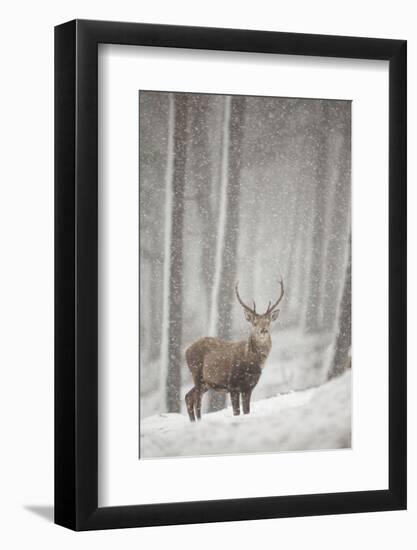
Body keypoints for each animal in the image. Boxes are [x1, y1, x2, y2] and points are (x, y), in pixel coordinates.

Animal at [184, 280, 282, 422]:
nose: (263, 330)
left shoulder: (249, 387)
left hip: (206, 383)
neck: (250, 363)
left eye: (268, 322)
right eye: (254, 323)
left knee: (188, 397)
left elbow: (246, 411)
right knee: (197, 400)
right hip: (196, 372)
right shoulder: (232, 384)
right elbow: (236, 412)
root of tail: (185, 351)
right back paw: (199, 420)